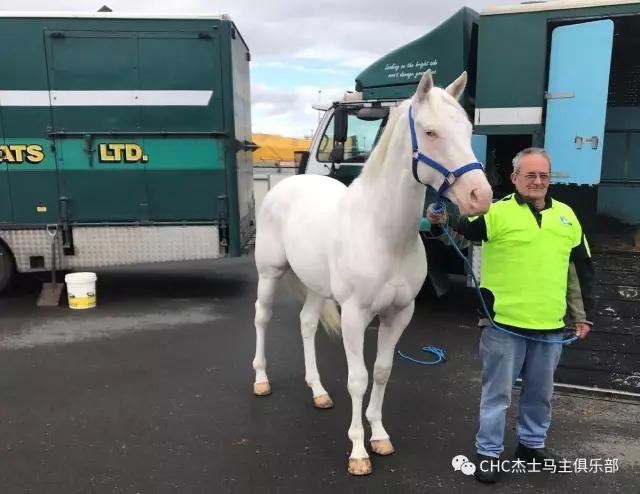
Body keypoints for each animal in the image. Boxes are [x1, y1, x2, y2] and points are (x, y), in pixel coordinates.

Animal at [252, 69, 492, 474]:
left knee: (306, 324)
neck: (383, 234)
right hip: (269, 275)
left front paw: (378, 436)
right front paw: (358, 452)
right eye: (431, 132)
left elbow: (381, 371)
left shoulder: (399, 314)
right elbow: (358, 379)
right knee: (262, 318)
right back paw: (261, 380)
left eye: (466, 128)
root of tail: (286, 184)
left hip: (315, 287)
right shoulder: (354, 315)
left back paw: (318, 391)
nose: (481, 195)